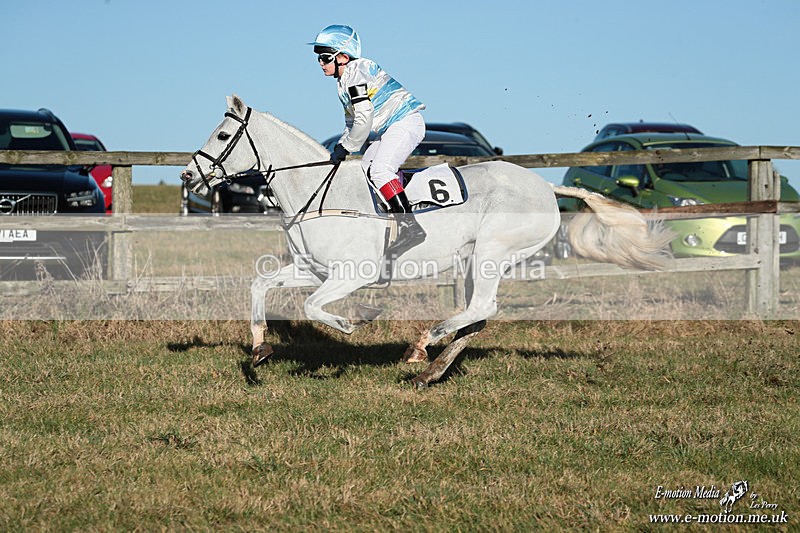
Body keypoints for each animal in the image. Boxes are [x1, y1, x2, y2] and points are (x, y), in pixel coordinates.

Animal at [180, 95, 673, 387]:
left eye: (223, 135)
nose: (188, 176)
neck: (317, 192)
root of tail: (545, 187)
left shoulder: (351, 275)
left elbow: (314, 308)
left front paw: (354, 322)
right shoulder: (313, 270)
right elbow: (261, 285)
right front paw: (260, 349)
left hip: (493, 253)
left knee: (483, 307)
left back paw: (422, 347)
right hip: (475, 261)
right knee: (477, 316)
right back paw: (432, 370)